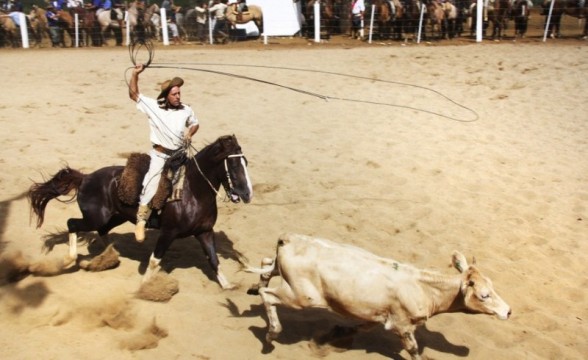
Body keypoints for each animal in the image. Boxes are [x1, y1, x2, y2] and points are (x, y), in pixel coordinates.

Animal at [28, 135, 253, 290]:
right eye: (233, 165)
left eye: (246, 163)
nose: (247, 194)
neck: (193, 192)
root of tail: (85, 177)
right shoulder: (168, 233)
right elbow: (155, 260)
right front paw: (145, 289)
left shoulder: (204, 232)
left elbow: (214, 259)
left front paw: (228, 285)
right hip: (95, 217)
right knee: (72, 223)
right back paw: (70, 260)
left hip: (115, 217)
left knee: (102, 231)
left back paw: (110, 256)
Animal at [246, 233, 512, 360]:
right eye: (484, 295)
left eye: (493, 286)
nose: (508, 311)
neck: (423, 288)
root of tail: (289, 238)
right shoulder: (403, 325)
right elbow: (413, 350)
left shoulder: (378, 316)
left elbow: (361, 327)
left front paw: (337, 335)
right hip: (301, 296)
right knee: (268, 295)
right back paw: (271, 335)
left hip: (284, 275)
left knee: (266, 265)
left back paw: (253, 288)